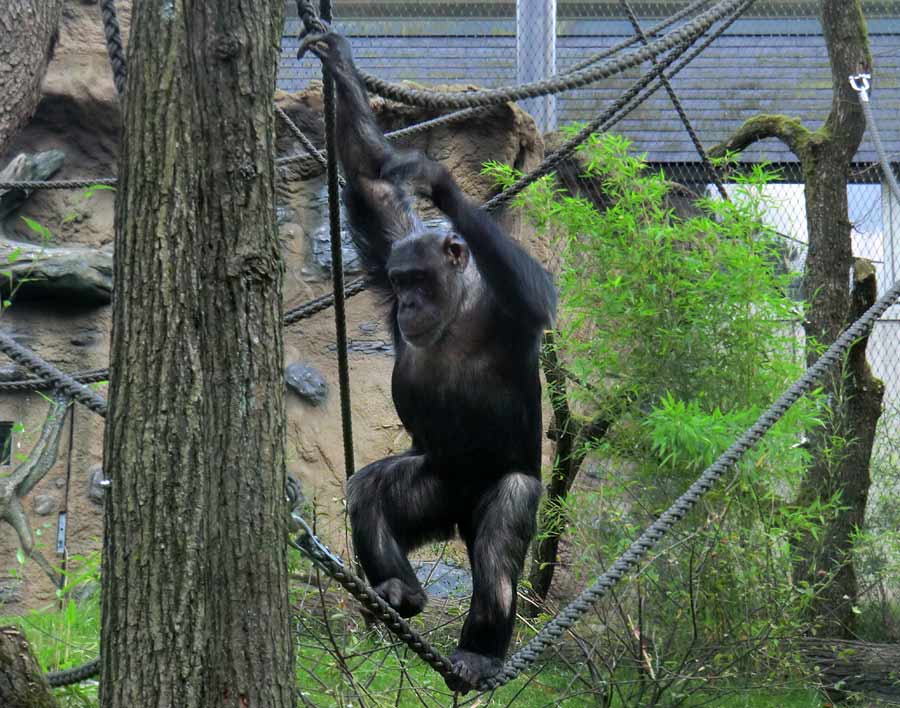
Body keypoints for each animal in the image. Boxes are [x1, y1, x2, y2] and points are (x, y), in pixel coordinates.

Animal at [300, 30, 556, 688]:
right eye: (400, 280)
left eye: (420, 278)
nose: (410, 301)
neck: (457, 308)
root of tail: (460, 519)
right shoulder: (390, 249)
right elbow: (373, 185)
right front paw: (337, 62)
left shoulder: (515, 307)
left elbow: (541, 293)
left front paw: (438, 181)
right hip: (435, 490)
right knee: (372, 488)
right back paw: (401, 592)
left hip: (487, 499)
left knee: (506, 518)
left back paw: (479, 652)